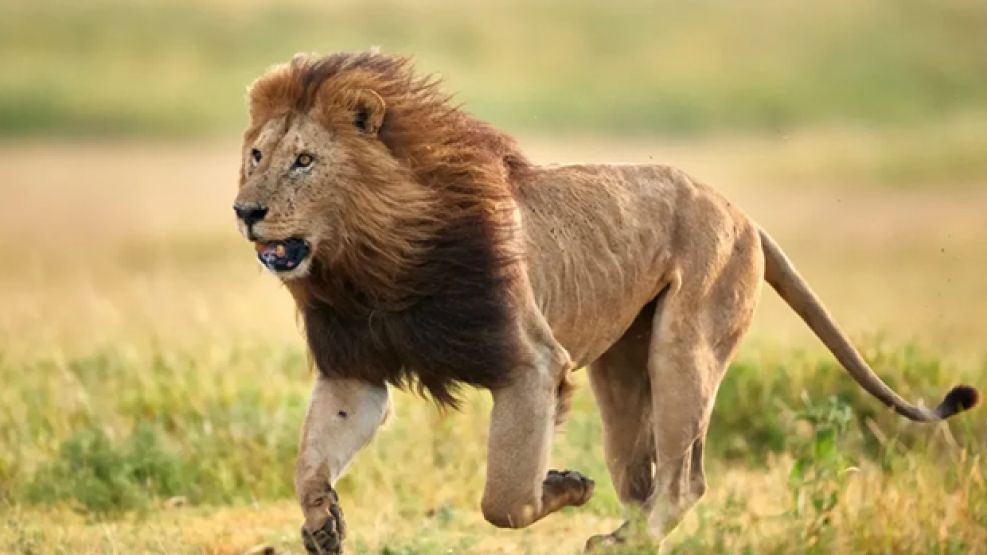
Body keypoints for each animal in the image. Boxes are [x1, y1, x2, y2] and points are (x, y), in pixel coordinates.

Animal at [233, 51, 979, 553]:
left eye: (303, 161)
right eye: (257, 155)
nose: (246, 211)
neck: (371, 266)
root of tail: (741, 213)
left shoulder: (530, 364)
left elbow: (504, 499)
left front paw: (563, 485)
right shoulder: (354, 368)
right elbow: (309, 462)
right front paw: (322, 524)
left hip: (684, 345)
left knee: (684, 480)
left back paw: (624, 538)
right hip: (620, 370)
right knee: (643, 477)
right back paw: (623, 532)